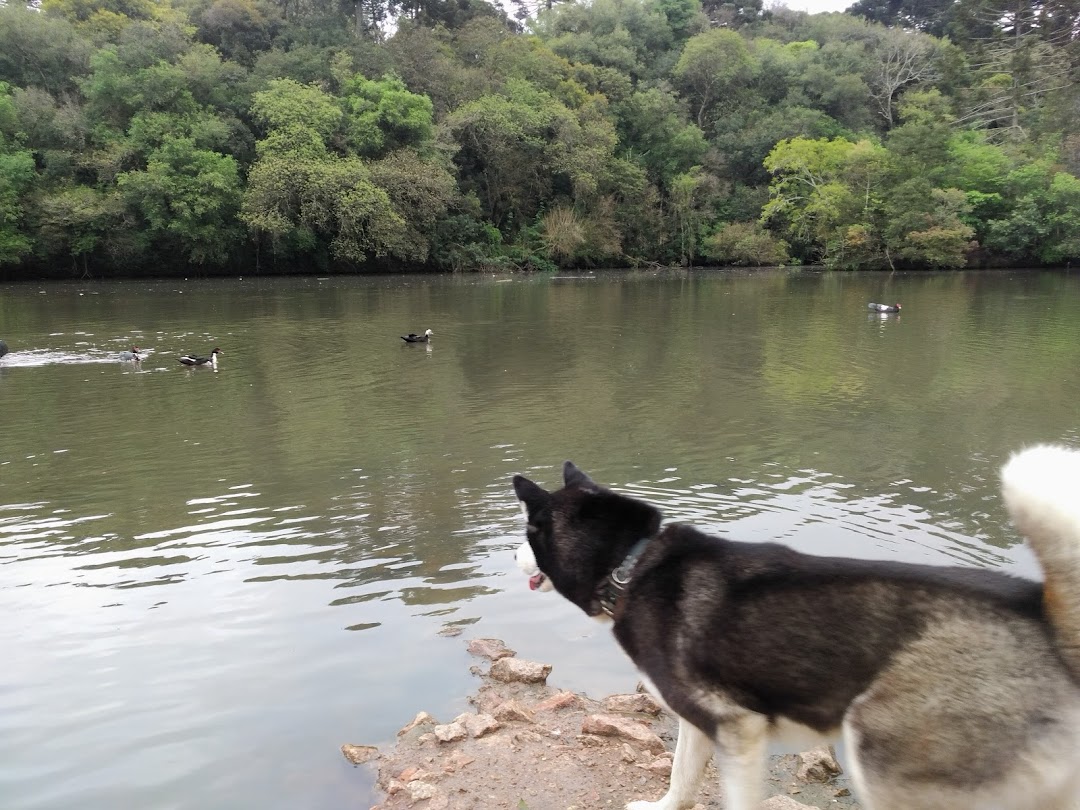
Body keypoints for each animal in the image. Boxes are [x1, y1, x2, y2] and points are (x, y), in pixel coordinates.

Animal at [509, 451, 1080, 810]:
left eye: (528, 532)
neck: (631, 565)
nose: (511, 558)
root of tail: (1042, 612)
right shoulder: (701, 722)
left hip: (879, 751)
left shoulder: (739, 730)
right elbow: (681, 781)